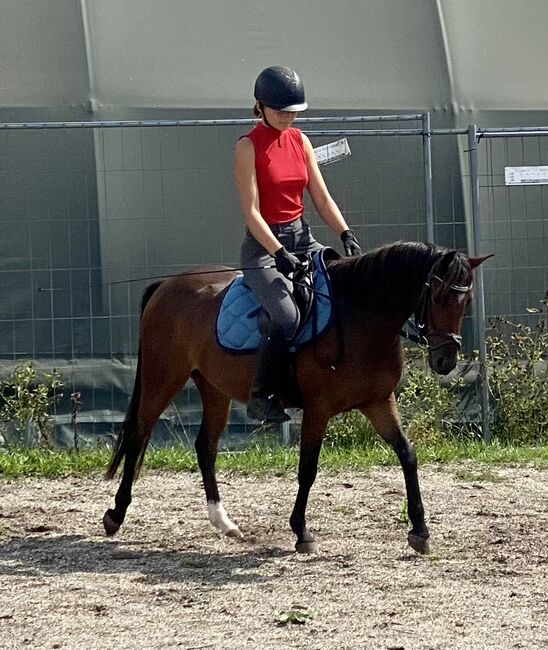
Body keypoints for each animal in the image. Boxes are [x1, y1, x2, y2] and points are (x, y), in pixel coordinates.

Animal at [103, 240, 488, 556]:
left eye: (467, 300)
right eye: (438, 297)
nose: (446, 360)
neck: (356, 314)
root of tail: (167, 285)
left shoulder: (378, 402)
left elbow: (407, 455)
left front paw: (420, 530)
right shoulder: (318, 408)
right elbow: (308, 468)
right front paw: (302, 532)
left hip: (213, 387)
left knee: (205, 447)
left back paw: (223, 522)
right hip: (163, 378)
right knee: (139, 435)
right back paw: (115, 515)